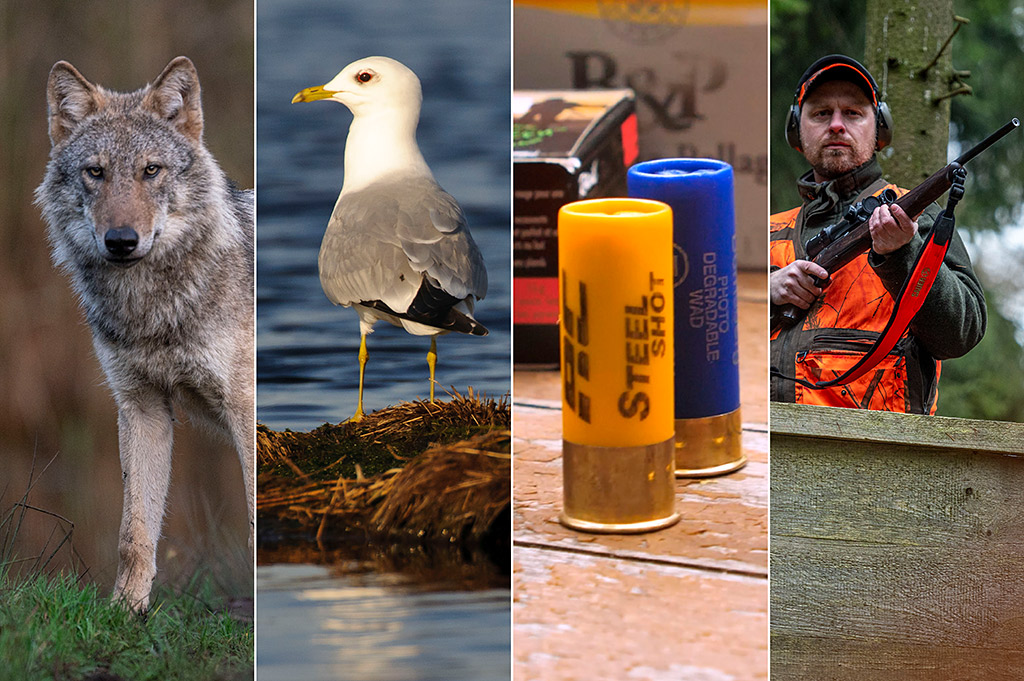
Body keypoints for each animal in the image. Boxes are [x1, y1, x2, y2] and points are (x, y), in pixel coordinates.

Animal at [35, 57, 254, 612]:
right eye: (96, 172)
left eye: (150, 170)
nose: (120, 241)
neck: (154, 312)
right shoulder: (141, 405)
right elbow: (133, 533)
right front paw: (126, 613)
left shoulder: (245, 409)